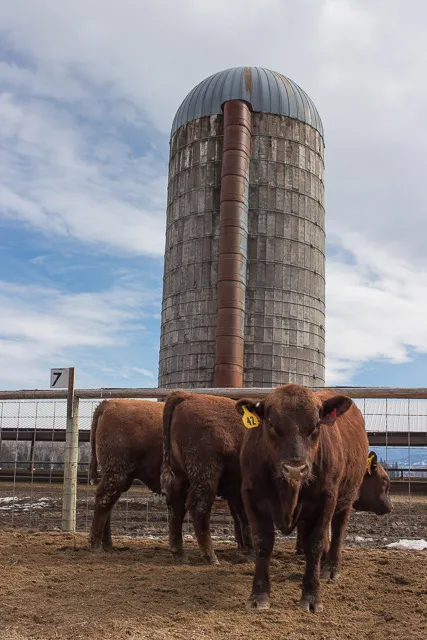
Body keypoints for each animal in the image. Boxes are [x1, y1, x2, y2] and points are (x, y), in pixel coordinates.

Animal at [88, 399, 163, 550]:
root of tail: (108, 403)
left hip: (119, 477)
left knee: (108, 503)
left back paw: (108, 545)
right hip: (117, 474)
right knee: (104, 500)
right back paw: (97, 545)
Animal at [160, 391, 252, 565]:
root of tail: (186, 395)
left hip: (180, 475)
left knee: (176, 504)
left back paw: (179, 553)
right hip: (206, 475)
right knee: (199, 507)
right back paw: (211, 557)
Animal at [237, 384, 368, 613]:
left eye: (316, 425)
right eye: (271, 424)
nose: (295, 469)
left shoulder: (326, 498)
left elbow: (314, 544)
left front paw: (312, 595)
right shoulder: (251, 496)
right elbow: (263, 542)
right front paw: (259, 595)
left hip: (346, 496)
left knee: (338, 528)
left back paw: (331, 567)